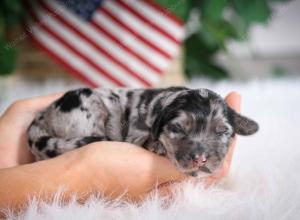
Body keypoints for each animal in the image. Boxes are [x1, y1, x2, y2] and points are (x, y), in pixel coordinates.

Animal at [27, 87, 258, 177]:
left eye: (222, 131)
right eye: (177, 128)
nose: (200, 159)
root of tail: (42, 115)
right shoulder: (135, 132)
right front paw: (156, 144)